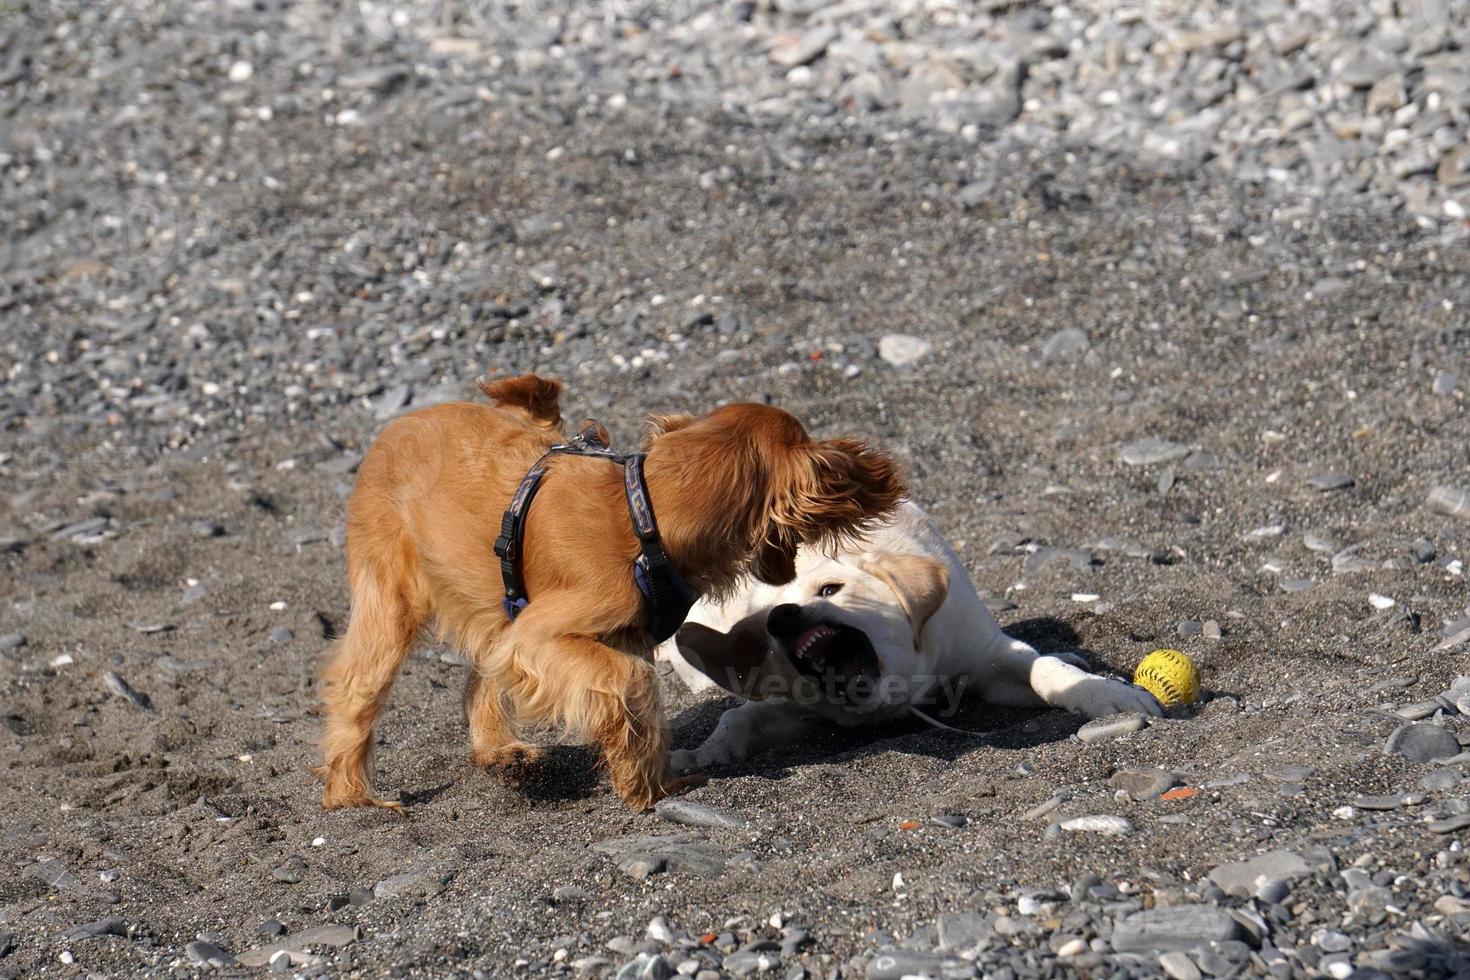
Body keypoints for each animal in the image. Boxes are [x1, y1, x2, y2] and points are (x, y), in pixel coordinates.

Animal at [316, 376, 899, 811]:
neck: (647, 516)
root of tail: (397, 426)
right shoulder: (542, 637)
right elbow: (634, 685)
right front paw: (649, 792)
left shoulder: (594, 637)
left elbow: (641, 716)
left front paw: (652, 782)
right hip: (390, 603)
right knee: (356, 689)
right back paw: (352, 797)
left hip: (494, 609)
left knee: (481, 680)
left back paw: (502, 755)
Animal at [664, 502, 1158, 769]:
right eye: (767, 617)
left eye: (830, 589)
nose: (780, 617)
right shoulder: (792, 703)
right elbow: (739, 716)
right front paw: (711, 750)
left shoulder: (986, 654)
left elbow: (1045, 670)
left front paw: (1108, 695)